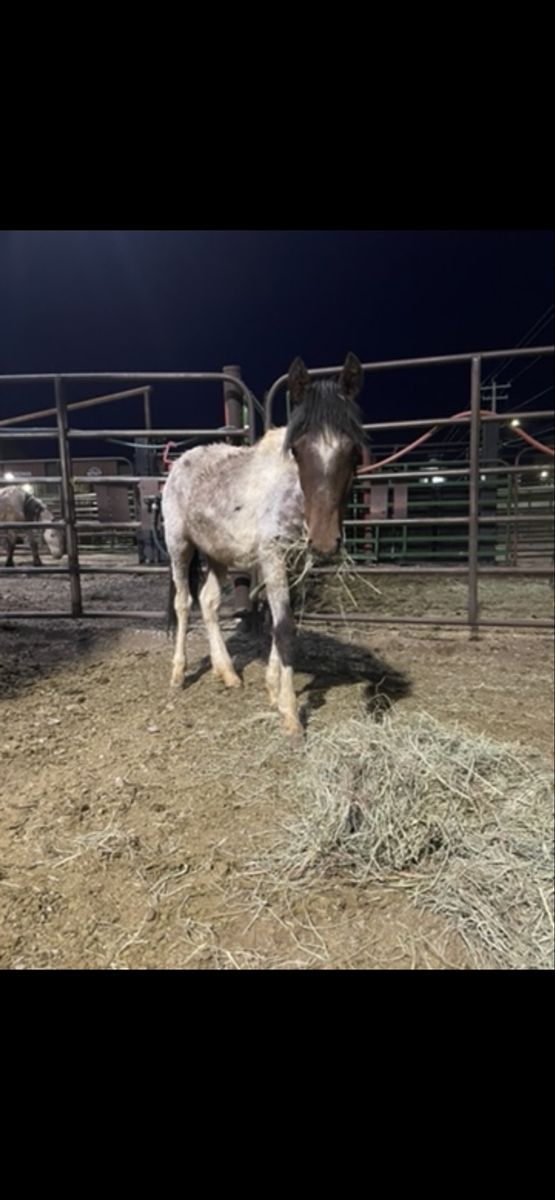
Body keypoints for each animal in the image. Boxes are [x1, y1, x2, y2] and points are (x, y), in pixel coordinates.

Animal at [162, 352, 366, 737]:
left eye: (353, 451)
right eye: (298, 450)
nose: (325, 541)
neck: (295, 495)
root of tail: (179, 462)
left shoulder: (297, 563)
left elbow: (283, 622)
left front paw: (273, 688)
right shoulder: (272, 557)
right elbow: (283, 627)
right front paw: (289, 713)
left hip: (217, 554)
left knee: (208, 602)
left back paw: (227, 673)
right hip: (179, 545)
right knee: (183, 603)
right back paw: (178, 674)